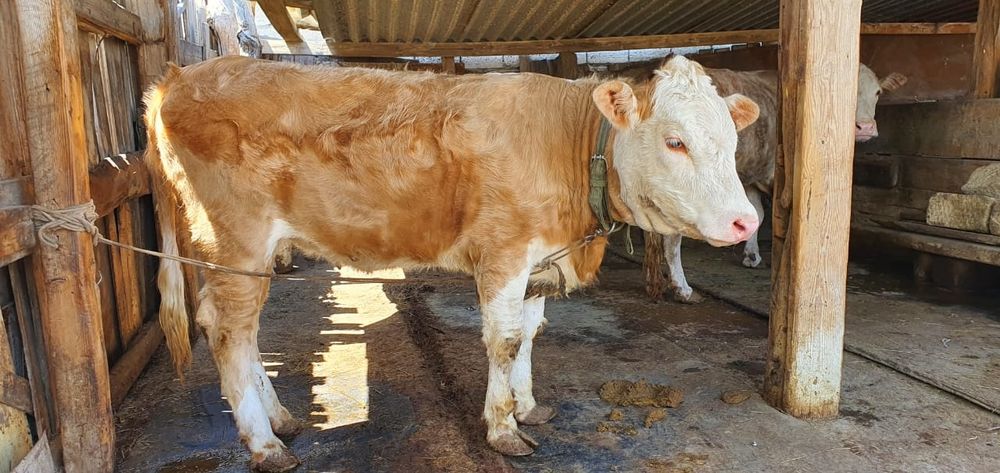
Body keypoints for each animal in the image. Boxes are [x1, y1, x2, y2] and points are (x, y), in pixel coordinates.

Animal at [145, 54, 760, 471]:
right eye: (675, 141)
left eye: (733, 143)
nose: (746, 223)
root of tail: (179, 77)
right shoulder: (504, 252)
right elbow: (504, 341)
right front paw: (503, 429)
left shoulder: (538, 260)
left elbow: (530, 333)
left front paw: (527, 406)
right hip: (236, 240)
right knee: (229, 331)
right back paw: (265, 443)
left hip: (250, 255)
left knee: (237, 331)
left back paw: (279, 419)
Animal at [642, 64, 908, 303]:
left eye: (878, 92)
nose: (865, 127)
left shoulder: (751, 176)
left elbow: (757, 214)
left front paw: (751, 255)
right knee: (671, 238)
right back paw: (683, 289)